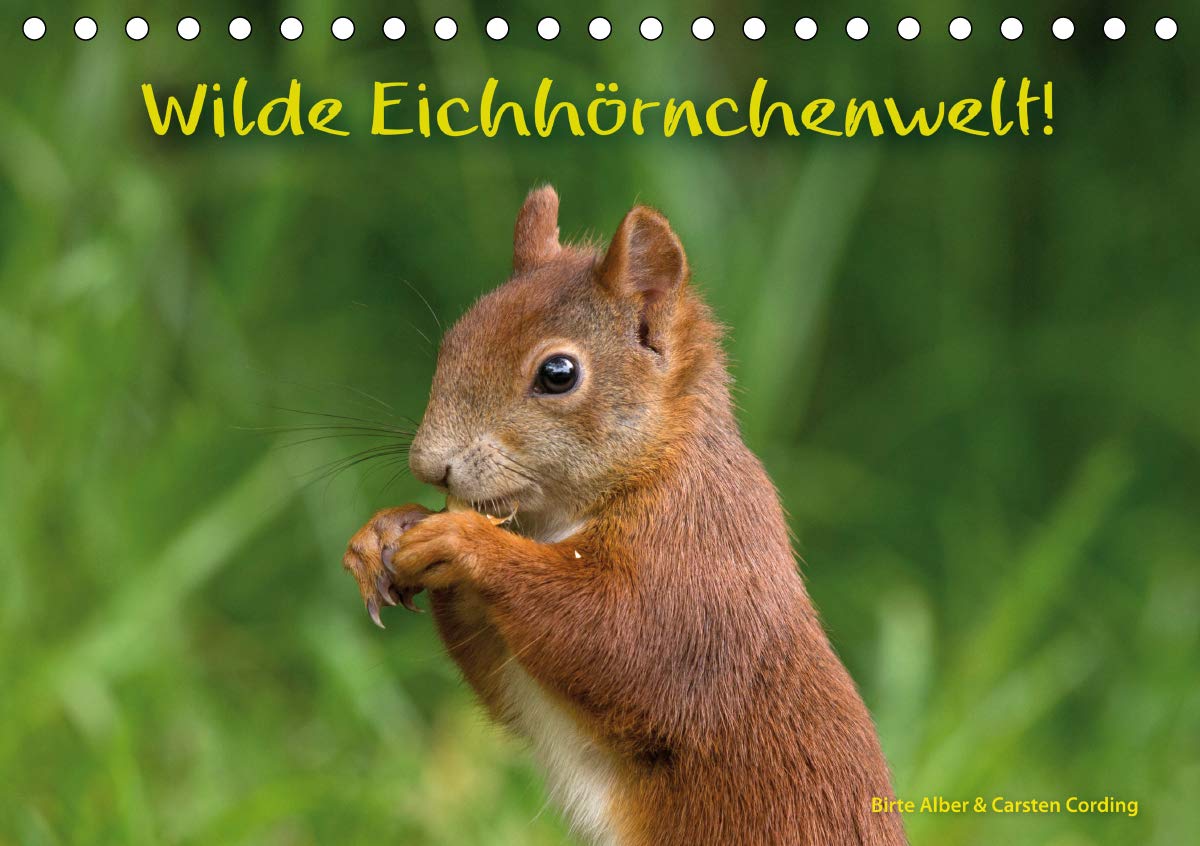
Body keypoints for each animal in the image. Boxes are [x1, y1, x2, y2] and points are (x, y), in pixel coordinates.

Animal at [342, 186, 907, 846]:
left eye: (558, 374)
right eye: (455, 338)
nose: (429, 466)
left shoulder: (699, 557)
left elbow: (622, 639)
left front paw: (462, 540)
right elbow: (497, 670)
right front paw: (387, 528)